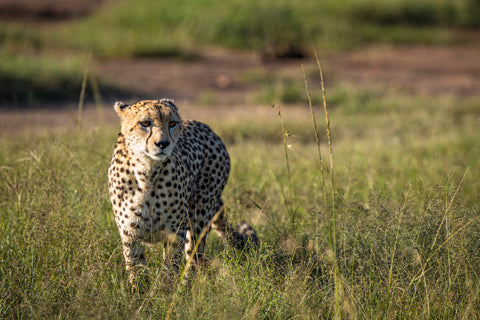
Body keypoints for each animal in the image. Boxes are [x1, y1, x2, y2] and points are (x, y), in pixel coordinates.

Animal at [108, 99, 256, 288]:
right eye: (145, 123)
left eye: (172, 123)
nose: (163, 143)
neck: (147, 172)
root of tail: (206, 127)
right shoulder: (131, 237)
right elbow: (137, 271)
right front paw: (139, 293)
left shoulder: (174, 234)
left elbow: (170, 268)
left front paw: (166, 291)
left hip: (199, 213)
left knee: (195, 256)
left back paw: (185, 287)